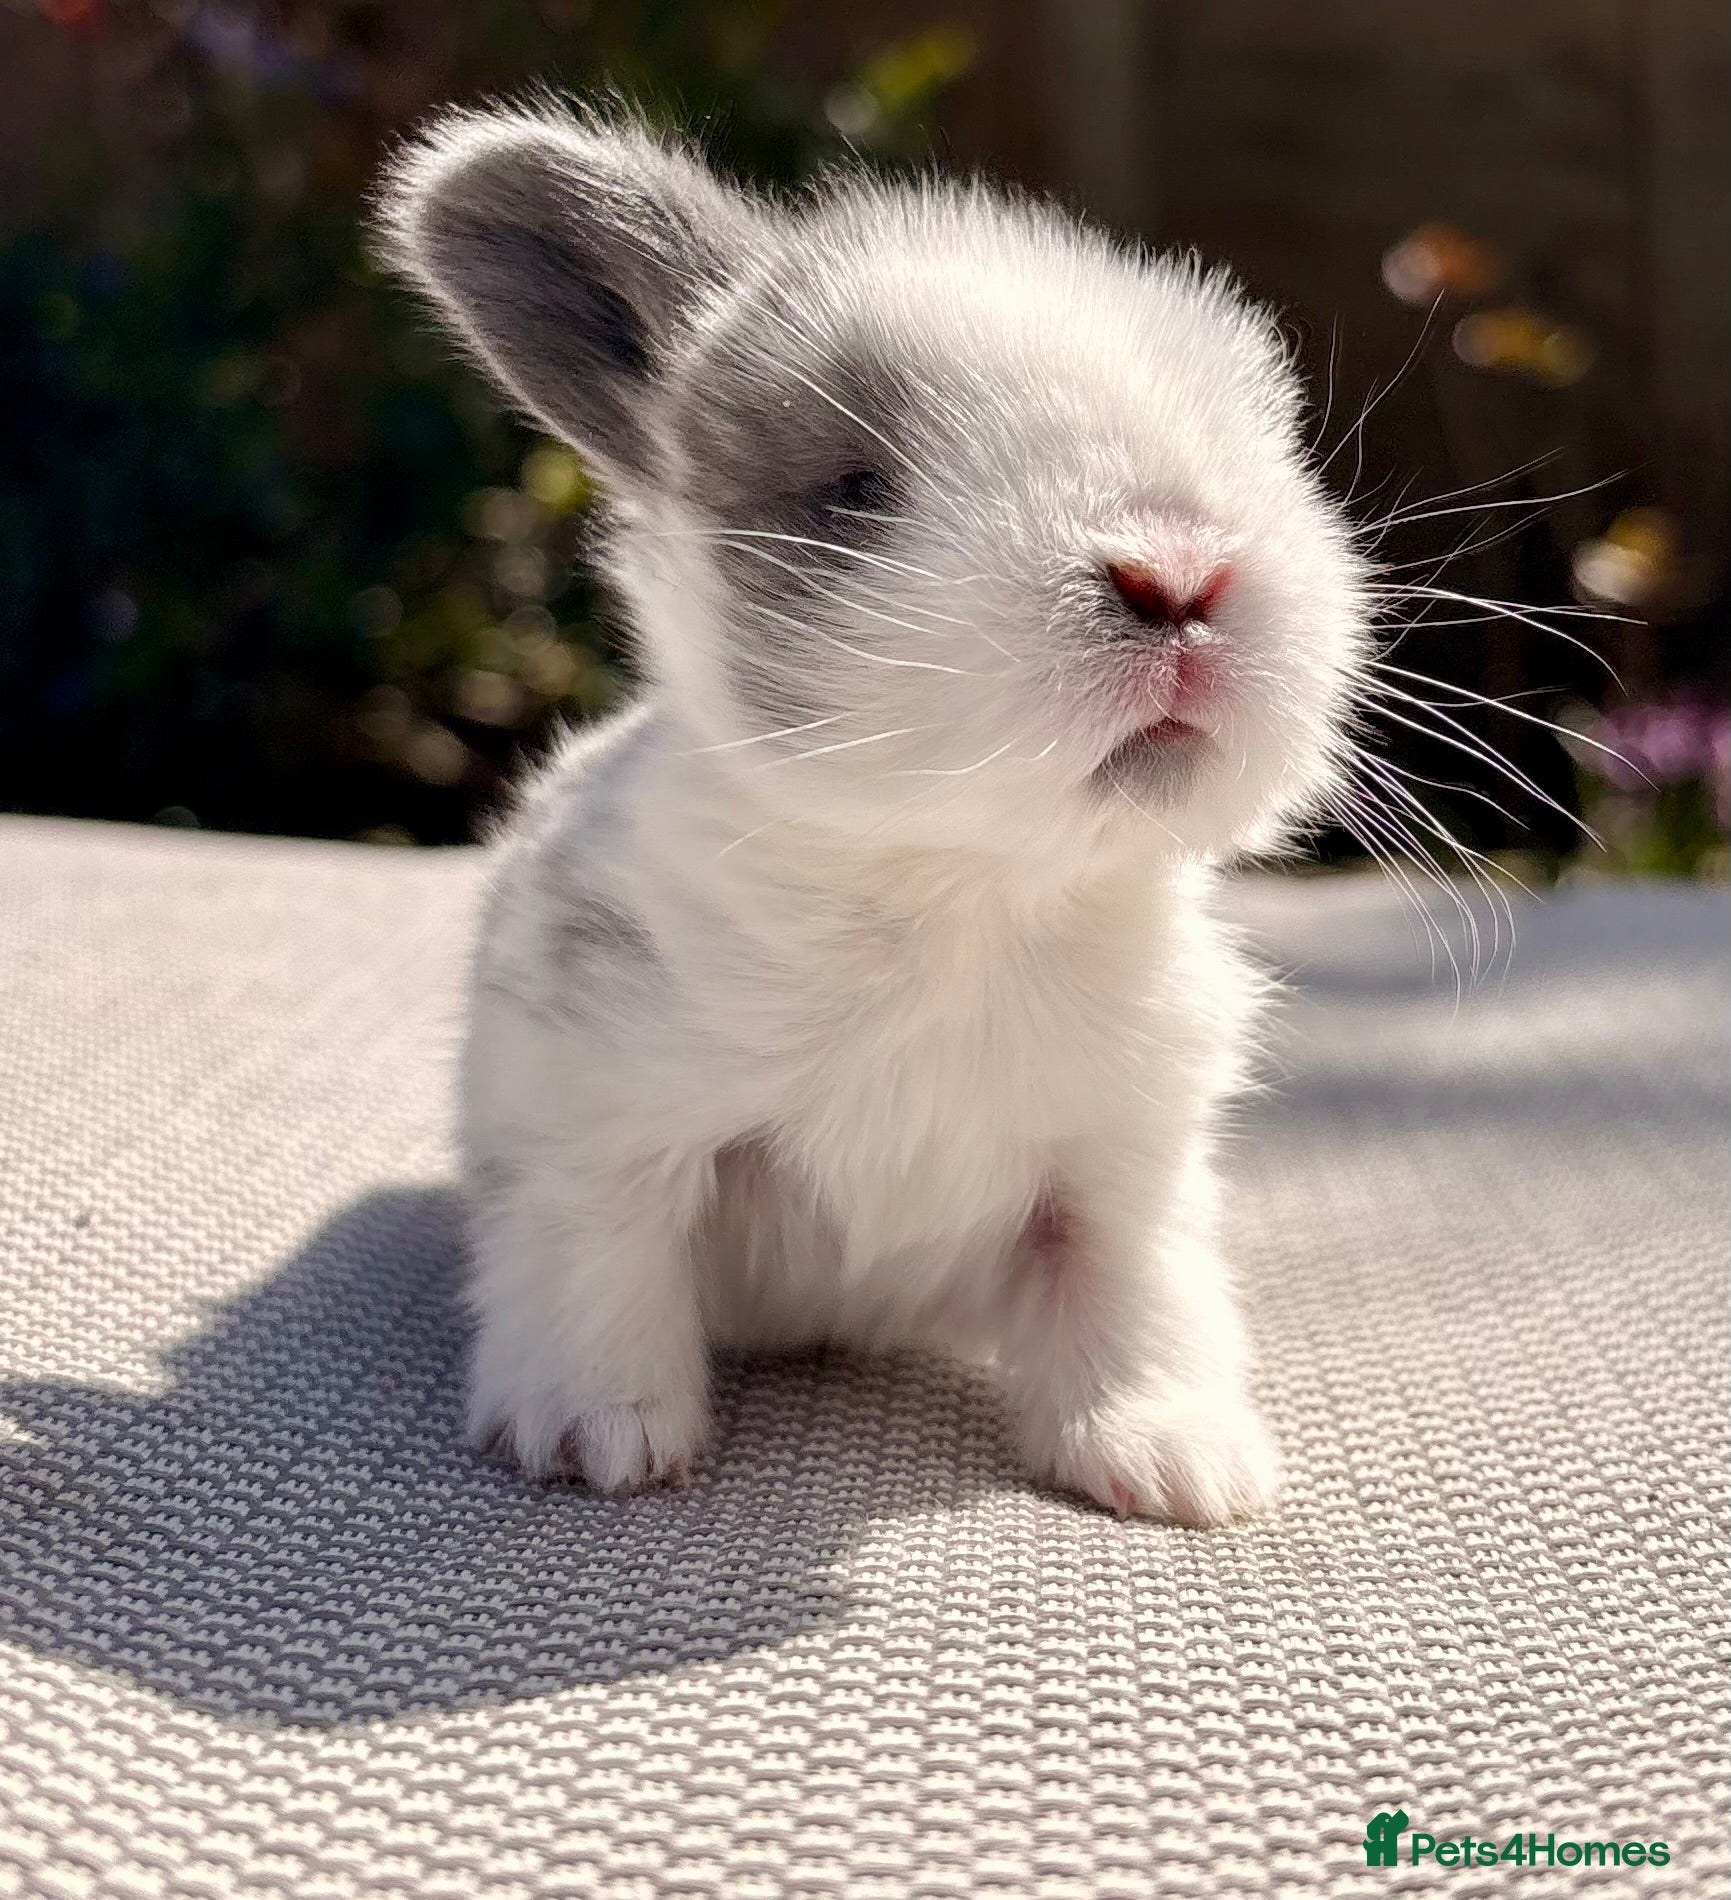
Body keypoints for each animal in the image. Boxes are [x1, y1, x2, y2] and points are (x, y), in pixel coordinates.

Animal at [376, 100, 1367, 1524]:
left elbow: (1138, 1296)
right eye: (854, 489)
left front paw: (1173, 1460)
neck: (959, 897)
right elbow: (600, 1261)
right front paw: (596, 1438)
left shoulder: (1123, 1166)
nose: (1178, 573)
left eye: (1273, 448)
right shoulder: (600, 1119)